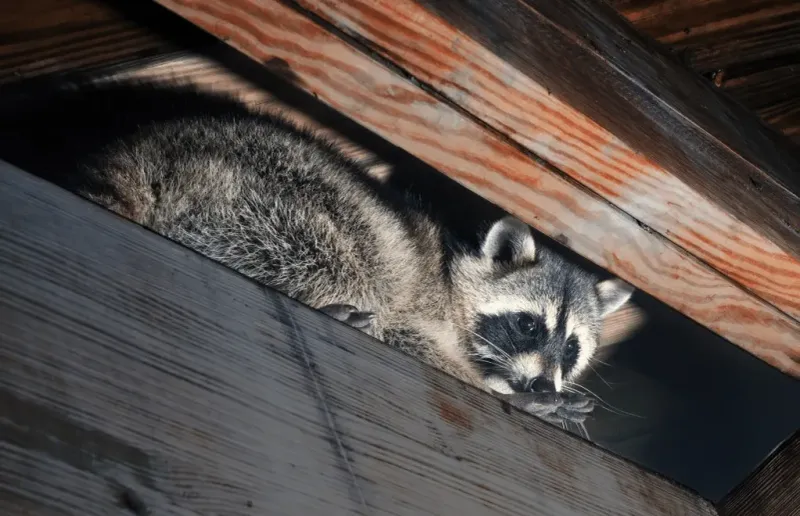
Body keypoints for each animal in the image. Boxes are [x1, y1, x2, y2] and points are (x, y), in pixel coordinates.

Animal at [0, 81, 634, 425]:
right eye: (528, 325)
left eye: (572, 347)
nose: (544, 387)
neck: (453, 279)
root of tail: (148, 147)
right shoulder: (420, 304)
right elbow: (411, 337)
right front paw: (500, 393)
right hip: (265, 194)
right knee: (334, 250)